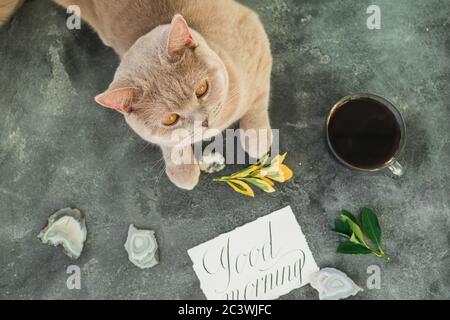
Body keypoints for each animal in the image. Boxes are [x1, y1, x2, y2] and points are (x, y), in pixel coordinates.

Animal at [1, 0, 272, 190]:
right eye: (170, 119)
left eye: (202, 89)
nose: (204, 121)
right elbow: (168, 142)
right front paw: (182, 169)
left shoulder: (254, 37)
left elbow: (258, 99)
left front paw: (256, 137)